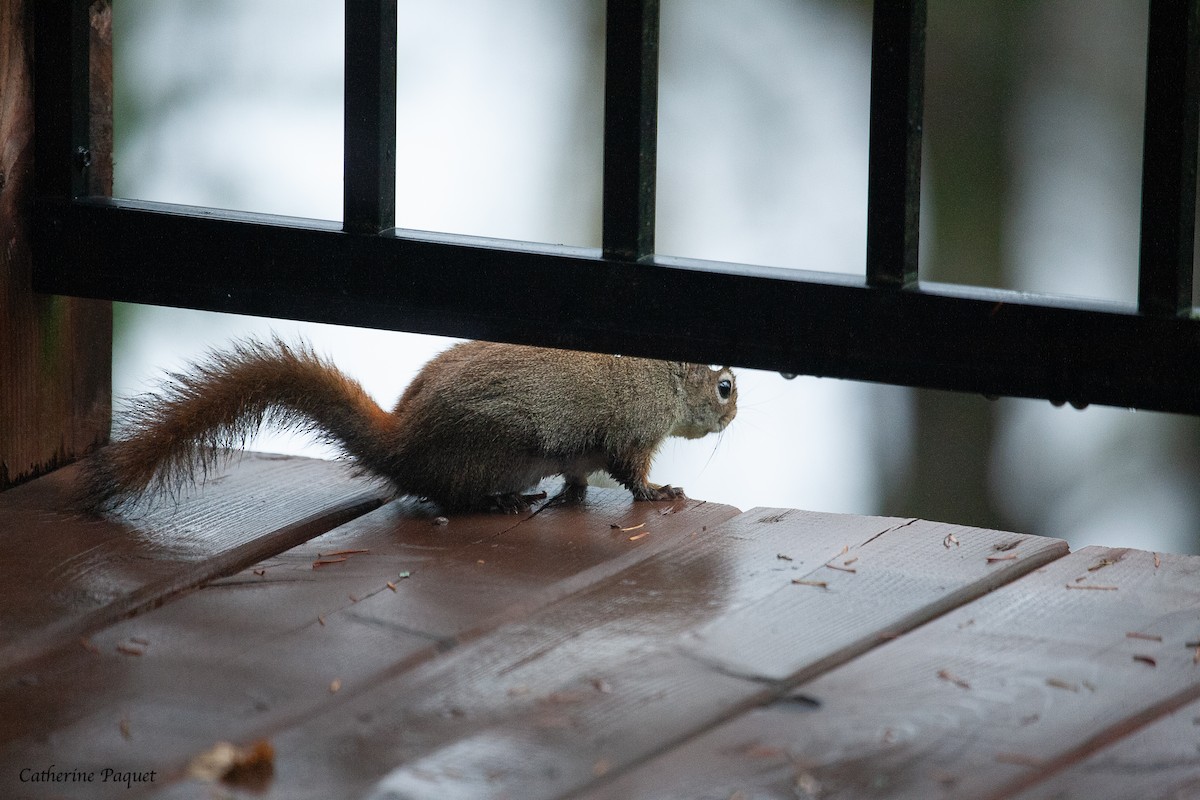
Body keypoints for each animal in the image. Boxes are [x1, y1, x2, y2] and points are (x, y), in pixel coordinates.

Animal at [78, 338, 737, 514]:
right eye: (725, 386)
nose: (734, 413)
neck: (659, 374)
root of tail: (402, 443)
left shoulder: (586, 452)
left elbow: (581, 475)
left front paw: (574, 497)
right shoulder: (632, 429)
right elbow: (630, 472)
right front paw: (660, 491)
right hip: (493, 449)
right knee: (449, 495)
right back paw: (500, 501)